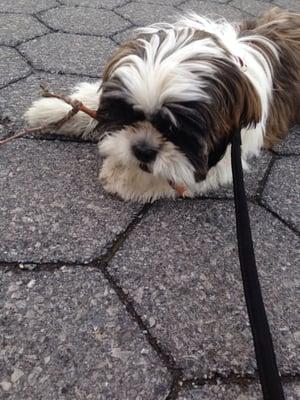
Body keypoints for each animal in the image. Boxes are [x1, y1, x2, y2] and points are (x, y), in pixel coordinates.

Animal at [25, 7, 300, 203]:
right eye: (129, 115)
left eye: (177, 132)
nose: (143, 149)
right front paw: (51, 110)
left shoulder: (232, 146)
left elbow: (185, 170)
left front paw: (128, 177)